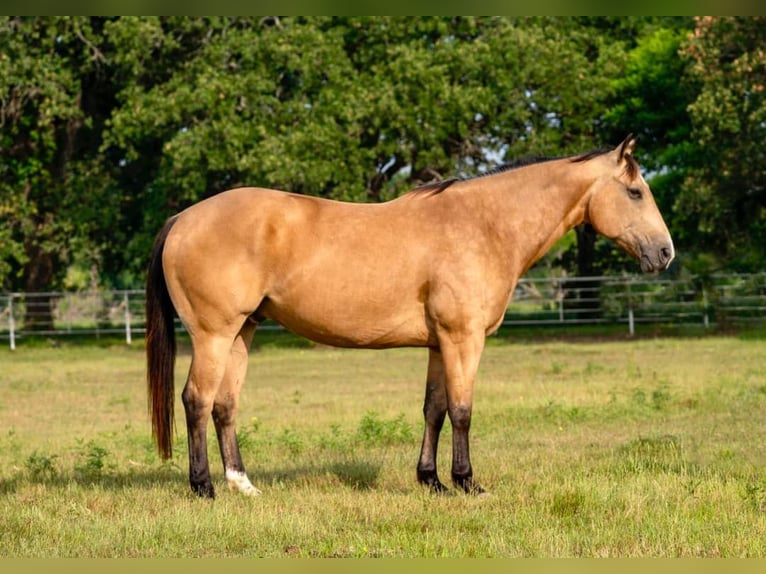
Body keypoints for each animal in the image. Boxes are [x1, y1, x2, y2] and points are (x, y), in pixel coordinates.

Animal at [145, 135, 674, 498]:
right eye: (635, 192)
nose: (665, 253)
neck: (484, 224)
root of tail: (183, 218)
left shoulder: (441, 343)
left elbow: (434, 409)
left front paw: (431, 481)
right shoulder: (464, 339)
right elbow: (462, 411)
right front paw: (467, 482)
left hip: (242, 332)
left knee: (224, 405)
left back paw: (242, 484)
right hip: (214, 335)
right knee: (196, 400)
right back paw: (204, 487)